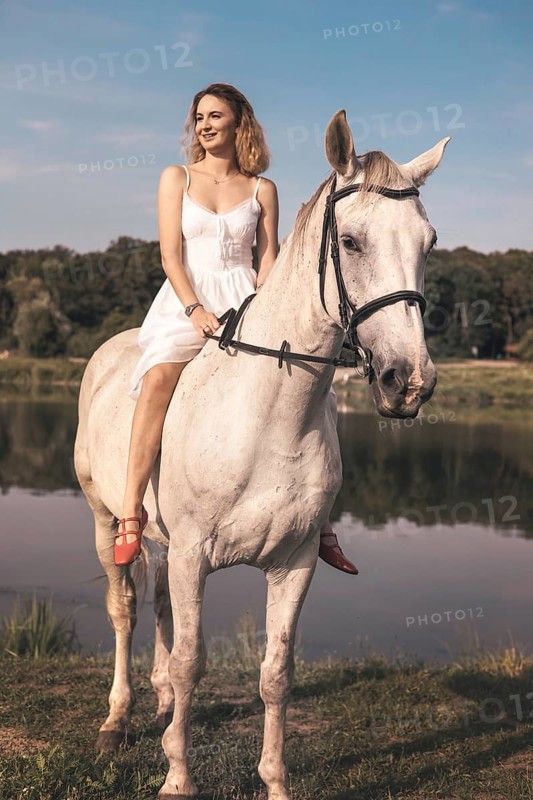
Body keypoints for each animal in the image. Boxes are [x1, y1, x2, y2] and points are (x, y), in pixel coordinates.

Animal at [73, 108, 450, 799]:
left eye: (429, 242)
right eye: (350, 241)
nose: (408, 382)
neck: (269, 416)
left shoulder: (293, 562)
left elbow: (276, 671)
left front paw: (274, 782)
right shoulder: (193, 553)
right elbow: (193, 660)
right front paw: (177, 778)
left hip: (164, 542)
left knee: (159, 606)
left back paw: (159, 705)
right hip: (104, 518)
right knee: (124, 610)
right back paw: (117, 722)